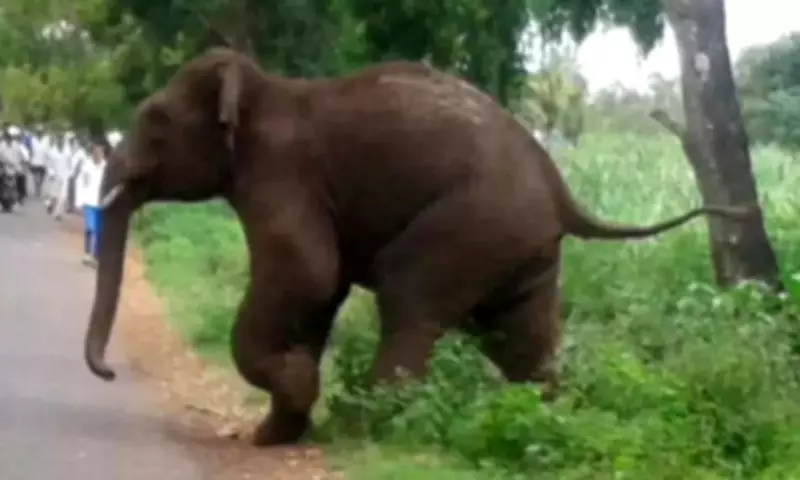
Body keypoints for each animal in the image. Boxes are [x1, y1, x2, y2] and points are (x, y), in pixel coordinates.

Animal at [83, 47, 755, 446]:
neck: (262, 86)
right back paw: (545, 416)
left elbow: (306, 273)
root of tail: (561, 190)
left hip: (472, 225)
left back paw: (367, 424)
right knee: (519, 334)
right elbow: (320, 287)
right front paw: (279, 428)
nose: (109, 372)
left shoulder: (281, 173)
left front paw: (291, 393)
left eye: (156, 121)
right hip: (522, 246)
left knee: (410, 295)